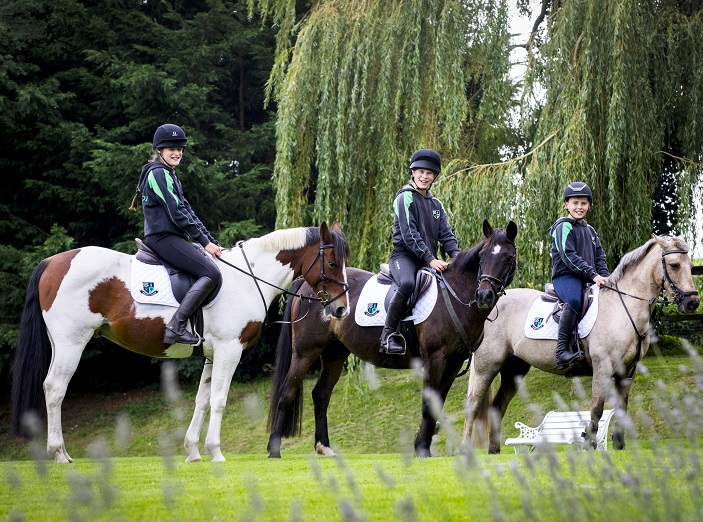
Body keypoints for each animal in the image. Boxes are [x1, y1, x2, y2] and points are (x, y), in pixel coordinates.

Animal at [11, 221, 352, 462]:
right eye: (333, 263)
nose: (340, 309)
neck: (248, 277)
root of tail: (52, 262)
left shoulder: (213, 355)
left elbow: (202, 400)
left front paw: (193, 451)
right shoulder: (229, 351)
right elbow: (219, 400)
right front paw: (215, 451)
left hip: (61, 343)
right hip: (72, 342)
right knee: (55, 389)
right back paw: (59, 453)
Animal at [266, 219, 520, 456]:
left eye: (508, 258)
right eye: (482, 256)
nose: (484, 295)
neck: (455, 295)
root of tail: (307, 285)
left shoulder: (453, 363)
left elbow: (437, 405)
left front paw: (423, 445)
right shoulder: (435, 360)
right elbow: (428, 405)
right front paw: (421, 449)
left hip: (334, 354)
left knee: (321, 396)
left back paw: (324, 447)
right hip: (305, 352)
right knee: (287, 393)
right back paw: (274, 449)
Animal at [462, 234, 700, 452]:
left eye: (690, 266)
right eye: (674, 265)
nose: (692, 303)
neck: (622, 307)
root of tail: (489, 303)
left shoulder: (627, 372)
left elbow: (621, 408)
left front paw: (619, 445)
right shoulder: (602, 368)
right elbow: (597, 408)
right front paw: (590, 445)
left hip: (514, 369)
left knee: (497, 407)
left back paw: (494, 450)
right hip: (487, 366)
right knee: (472, 405)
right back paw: (465, 450)